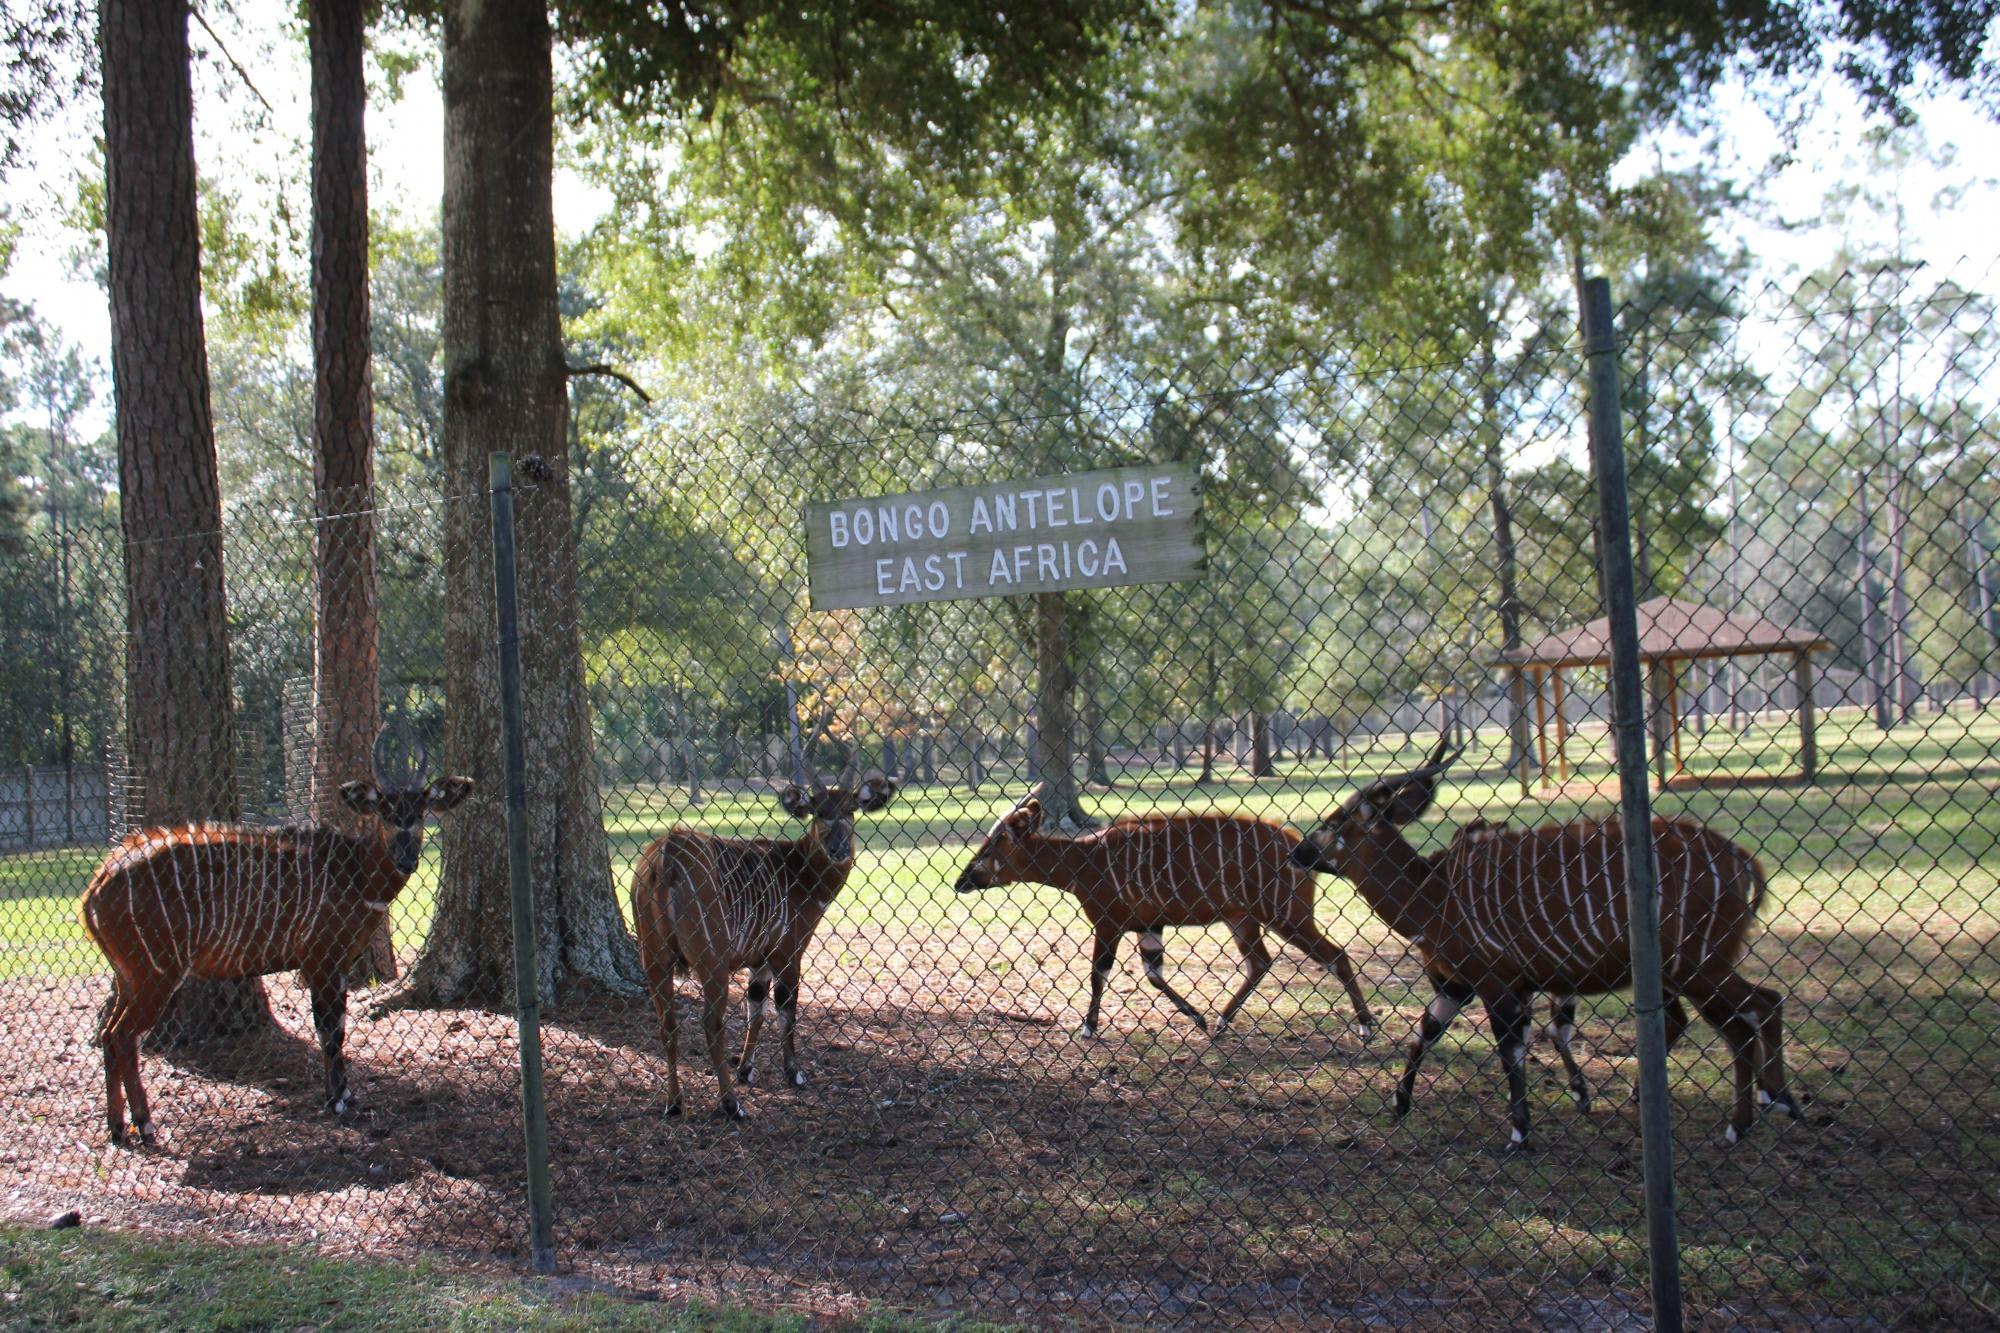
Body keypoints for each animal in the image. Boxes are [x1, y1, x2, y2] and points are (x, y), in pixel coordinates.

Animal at [80, 720, 470, 1136]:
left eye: (422, 810)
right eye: (386, 811)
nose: (407, 859)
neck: (355, 873)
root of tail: (96, 885)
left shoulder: (339, 964)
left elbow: (338, 1026)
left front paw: (346, 1094)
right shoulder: (321, 960)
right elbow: (328, 1029)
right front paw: (336, 1100)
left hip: (129, 975)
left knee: (110, 1034)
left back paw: (119, 1125)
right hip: (155, 973)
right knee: (122, 1034)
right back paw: (145, 1124)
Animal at [1288, 732, 1808, 1144]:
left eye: (1334, 823)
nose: (1298, 852)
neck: (1433, 893)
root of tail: (1741, 859)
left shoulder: (1498, 985)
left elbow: (1510, 1051)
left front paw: (1519, 1133)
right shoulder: (1457, 984)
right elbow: (1424, 1034)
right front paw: (1400, 1104)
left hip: (1698, 967)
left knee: (1758, 1010)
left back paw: (1758, 1112)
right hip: (1690, 972)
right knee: (1748, 1014)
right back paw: (1758, 1107)